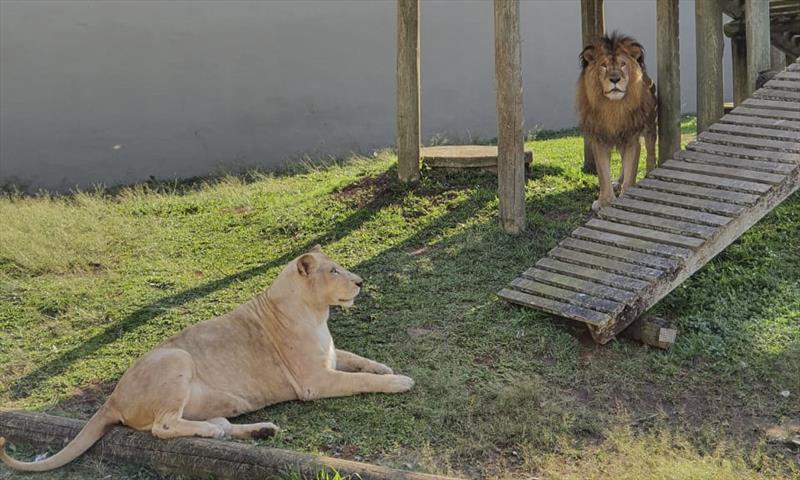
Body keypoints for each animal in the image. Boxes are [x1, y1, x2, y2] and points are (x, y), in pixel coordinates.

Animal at [580, 31, 660, 209]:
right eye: (603, 66)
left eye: (623, 65)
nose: (615, 79)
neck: (614, 107)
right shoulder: (599, 140)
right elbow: (603, 175)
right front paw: (604, 201)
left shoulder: (632, 139)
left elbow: (631, 172)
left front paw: (626, 196)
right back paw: (617, 182)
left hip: (650, 128)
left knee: (650, 154)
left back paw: (650, 174)